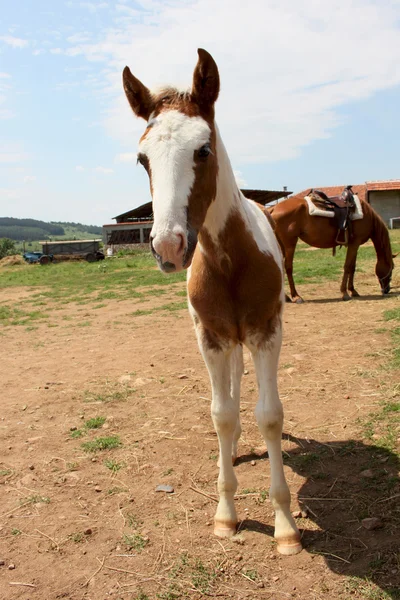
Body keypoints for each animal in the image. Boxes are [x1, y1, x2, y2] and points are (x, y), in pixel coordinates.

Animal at [123, 49, 302, 556]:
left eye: (203, 149)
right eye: (143, 158)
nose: (167, 246)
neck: (229, 260)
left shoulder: (266, 332)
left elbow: (270, 416)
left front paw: (285, 526)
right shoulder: (211, 338)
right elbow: (221, 415)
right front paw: (226, 515)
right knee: (234, 390)